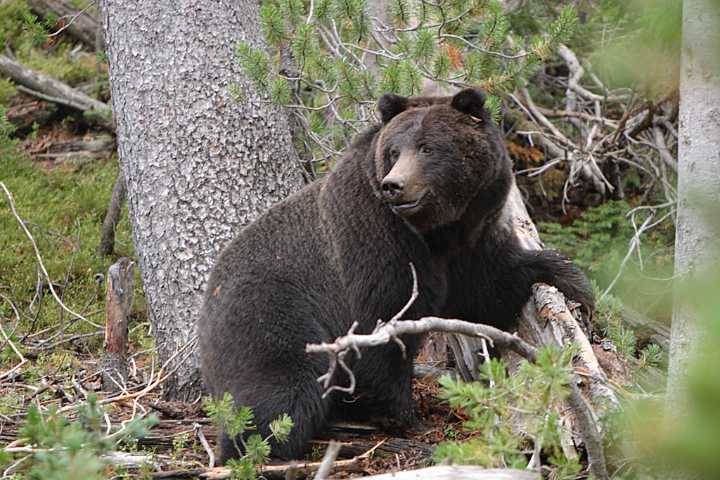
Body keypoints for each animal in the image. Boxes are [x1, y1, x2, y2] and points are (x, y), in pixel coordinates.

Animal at [198, 88, 593, 463]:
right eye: (393, 151)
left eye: (427, 148)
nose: (395, 185)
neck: (437, 232)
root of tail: (205, 311)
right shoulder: (378, 239)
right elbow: (385, 321)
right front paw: (402, 414)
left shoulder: (471, 241)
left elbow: (488, 290)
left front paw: (571, 279)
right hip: (270, 314)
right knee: (284, 389)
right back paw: (256, 447)